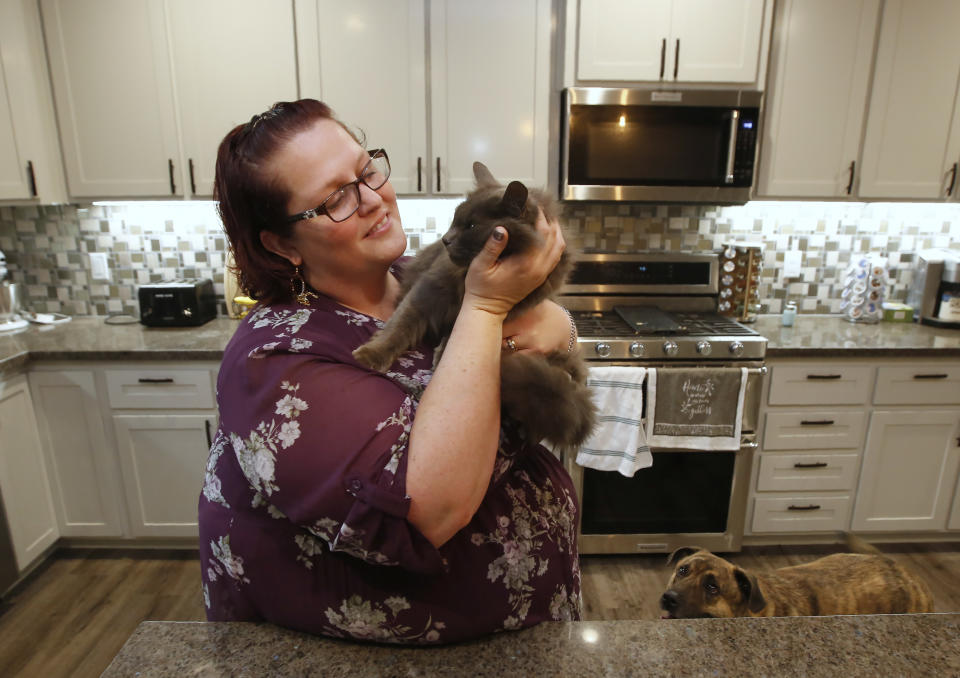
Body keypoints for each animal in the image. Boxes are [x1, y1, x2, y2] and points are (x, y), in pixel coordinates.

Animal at [352, 161, 592, 452]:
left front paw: (442, 355)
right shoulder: (428, 290)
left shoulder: (521, 303)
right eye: (455, 219)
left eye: (472, 225)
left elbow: (455, 327)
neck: (465, 279)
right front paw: (371, 354)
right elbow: (399, 326)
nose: (445, 239)